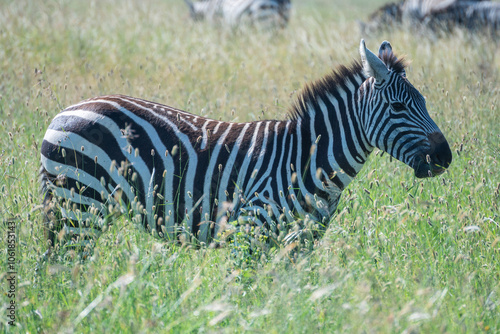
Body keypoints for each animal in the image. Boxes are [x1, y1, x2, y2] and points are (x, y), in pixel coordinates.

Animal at [39, 39, 454, 252]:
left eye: (425, 102)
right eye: (399, 107)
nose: (445, 156)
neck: (306, 159)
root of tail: (66, 111)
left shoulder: (301, 244)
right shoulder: (250, 232)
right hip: (79, 207)